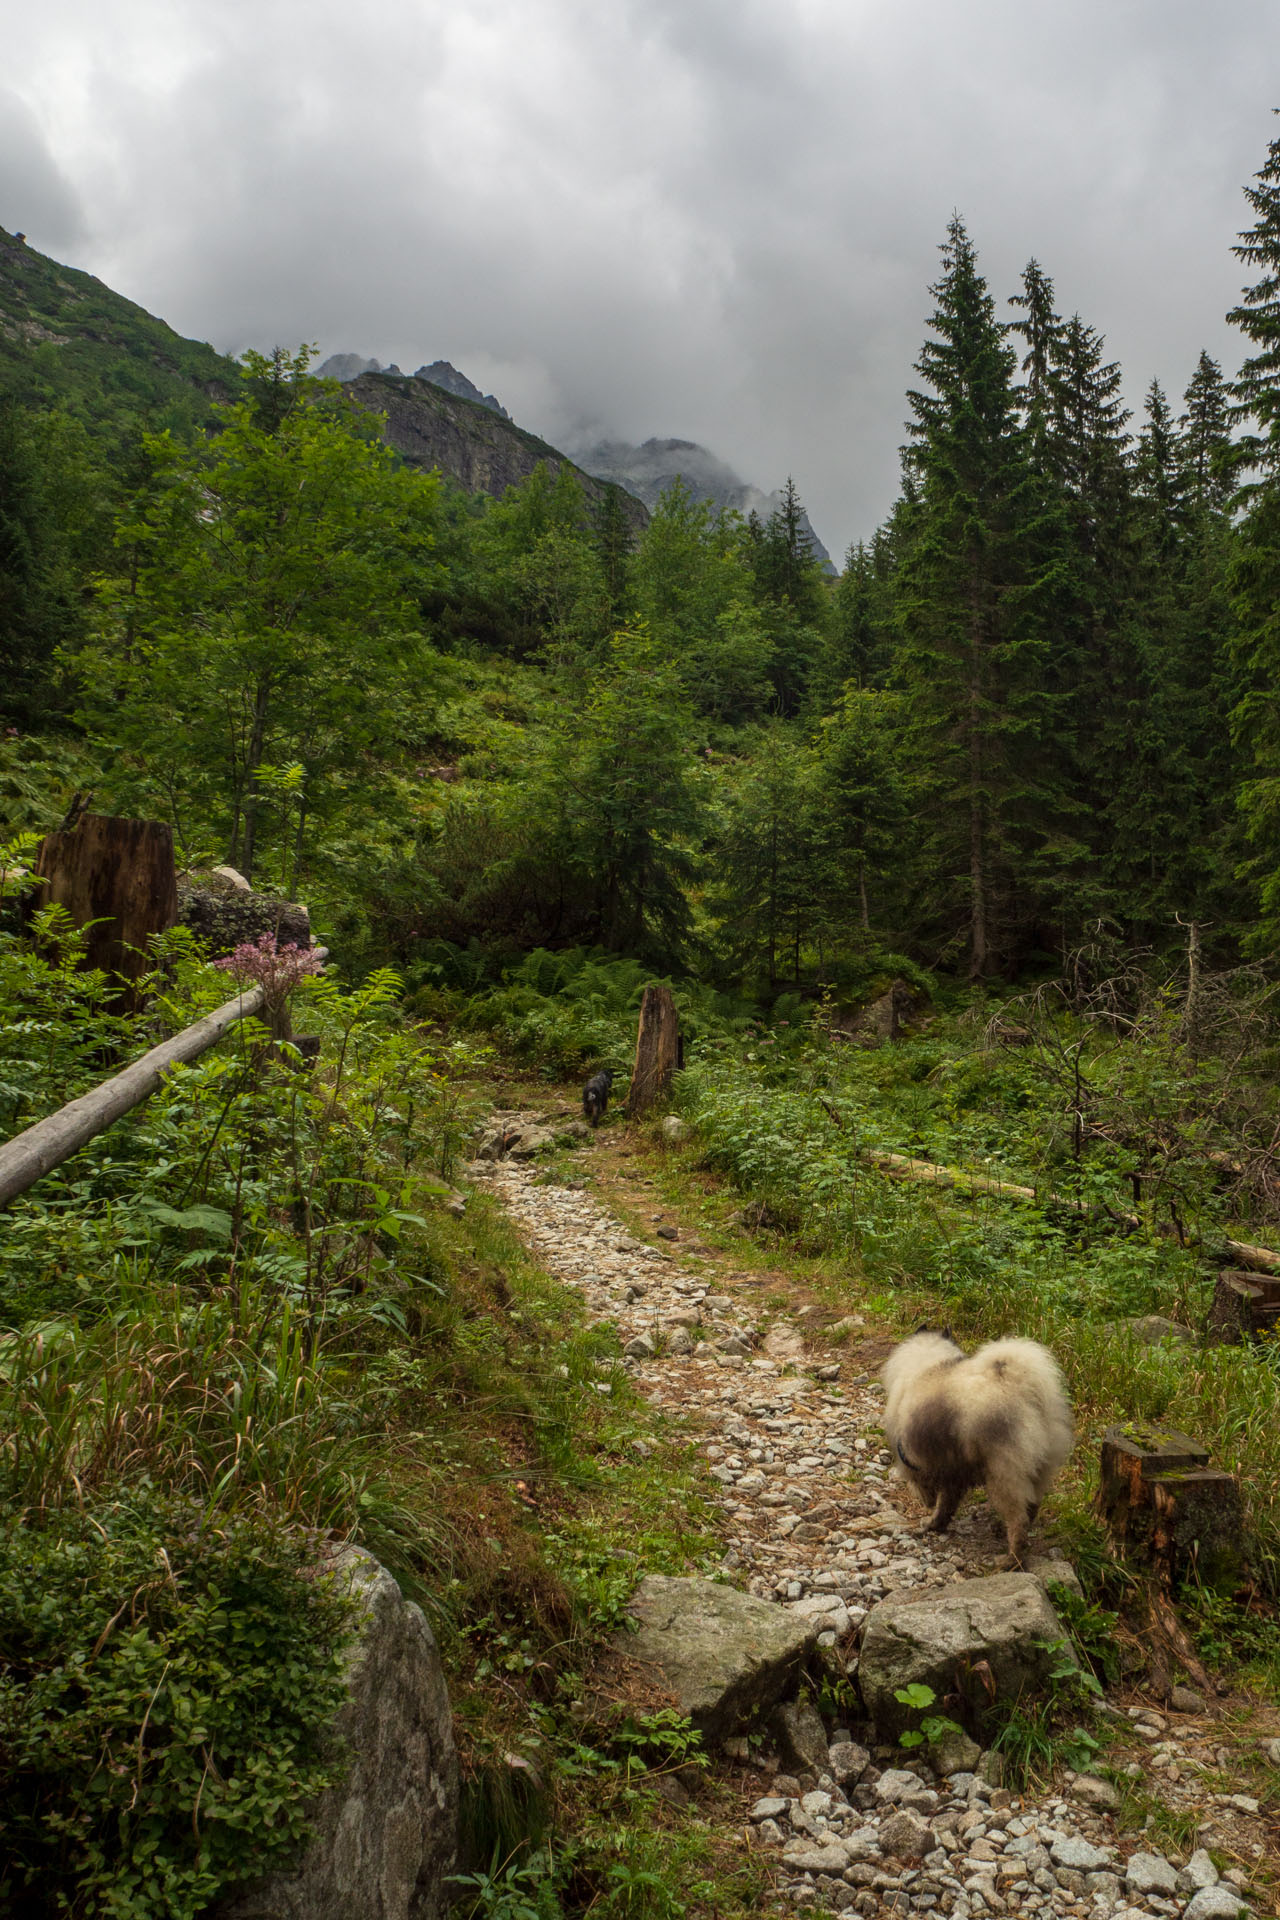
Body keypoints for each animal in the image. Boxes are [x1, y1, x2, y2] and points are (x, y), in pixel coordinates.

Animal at [882, 1328, 1074, 1566]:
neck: (929, 1365)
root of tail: (1020, 1385)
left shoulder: (917, 1459)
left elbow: (928, 1491)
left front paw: (929, 1517)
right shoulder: (953, 1473)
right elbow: (947, 1503)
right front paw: (937, 1523)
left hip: (1003, 1475)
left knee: (1018, 1520)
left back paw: (1010, 1559)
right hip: (1040, 1469)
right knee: (1031, 1507)